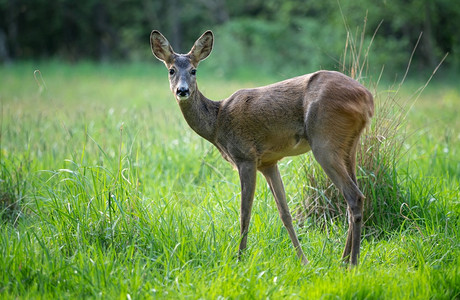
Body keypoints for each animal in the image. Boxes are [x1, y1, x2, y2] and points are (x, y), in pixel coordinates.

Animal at [151, 29, 374, 264]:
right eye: (171, 70)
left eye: (194, 70)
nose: (182, 90)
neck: (217, 123)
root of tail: (368, 98)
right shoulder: (268, 162)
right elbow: (285, 213)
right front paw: (303, 260)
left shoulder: (245, 157)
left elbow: (244, 213)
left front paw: (240, 258)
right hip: (349, 146)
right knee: (353, 198)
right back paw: (343, 260)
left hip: (324, 141)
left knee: (354, 196)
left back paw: (352, 263)